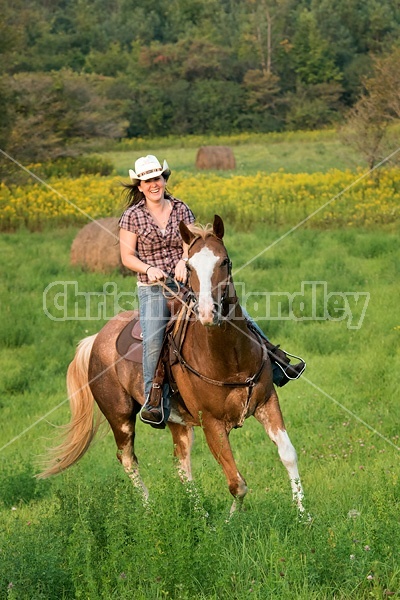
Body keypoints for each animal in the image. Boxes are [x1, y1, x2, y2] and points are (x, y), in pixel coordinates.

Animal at [39, 216, 304, 516]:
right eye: (189, 266)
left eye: (224, 261)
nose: (207, 312)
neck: (229, 357)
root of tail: (96, 339)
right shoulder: (211, 422)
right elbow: (237, 483)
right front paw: (231, 521)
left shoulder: (267, 403)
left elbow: (288, 455)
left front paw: (303, 516)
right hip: (120, 418)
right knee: (128, 460)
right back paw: (150, 509)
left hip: (178, 422)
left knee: (181, 464)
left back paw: (201, 516)